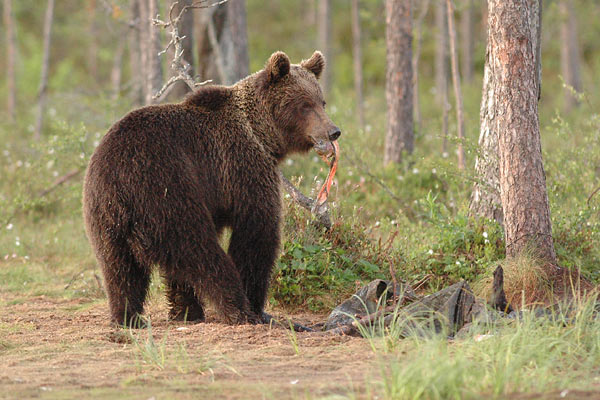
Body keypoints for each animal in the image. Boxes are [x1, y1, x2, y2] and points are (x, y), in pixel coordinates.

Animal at [82, 50, 340, 326]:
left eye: (322, 101)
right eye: (305, 104)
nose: (333, 131)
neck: (262, 134)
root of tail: (119, 177)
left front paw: (185, 310)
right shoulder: (243, 168)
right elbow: (256, 232)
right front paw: (255, 303)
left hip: (105, 216)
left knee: (119, 269)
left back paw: (128, 316)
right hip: (164, 188)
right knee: (199, 250)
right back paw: (239, 309)